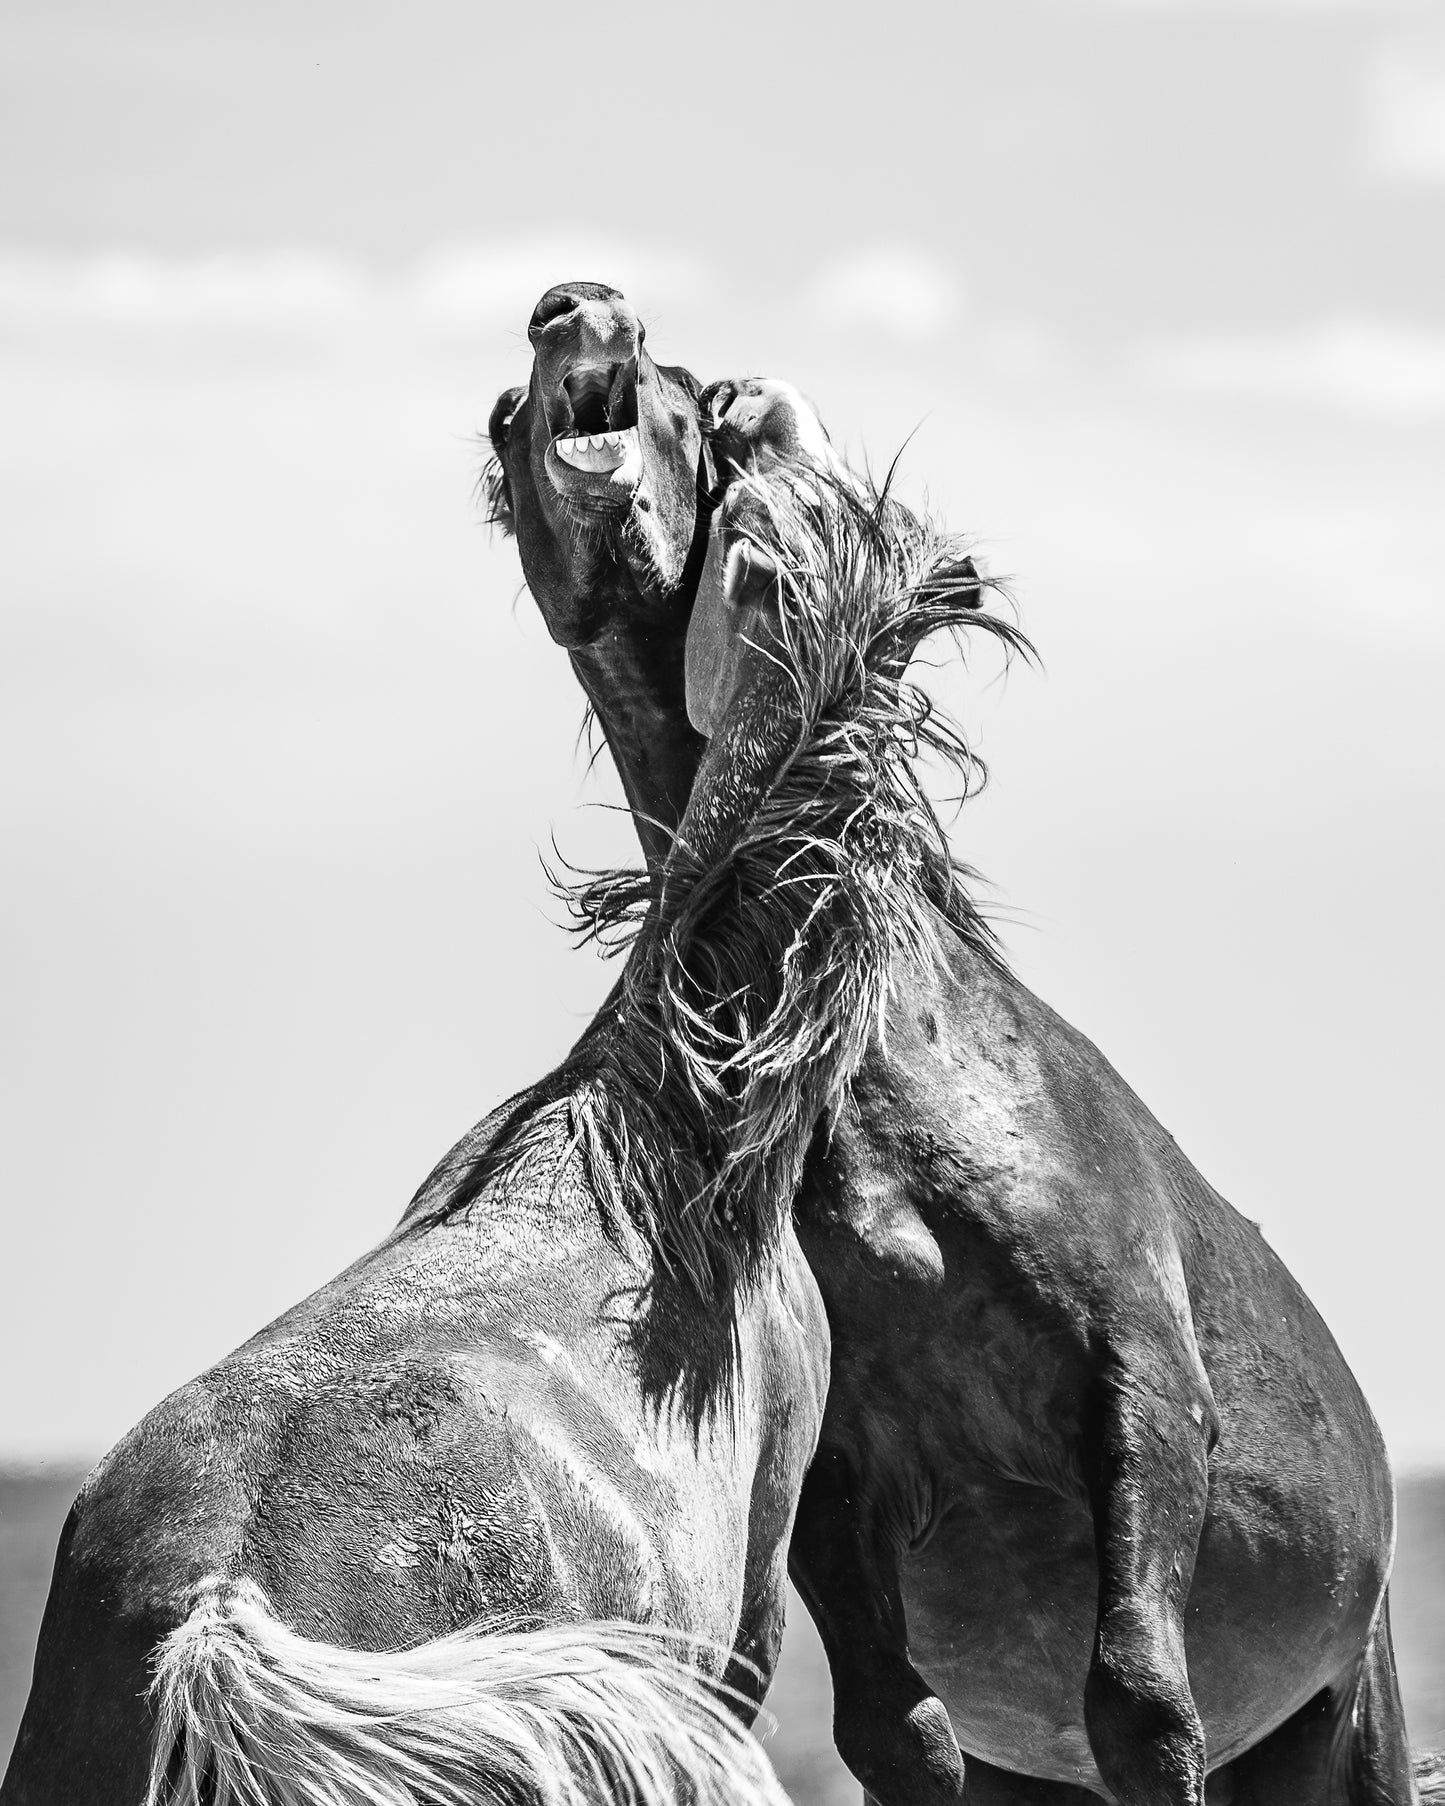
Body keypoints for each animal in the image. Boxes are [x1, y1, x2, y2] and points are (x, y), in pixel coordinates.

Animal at [0, 312, 830, 1806]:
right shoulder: (755, 1598)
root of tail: (215, 1618)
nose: (579, 309)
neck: (657, 1128)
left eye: (670, 381)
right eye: (510, 411)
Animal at [540, 372, 1438, 1806]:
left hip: (1339, 1719)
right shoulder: (841, 1488)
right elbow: (894, 1729)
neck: (911, 1137)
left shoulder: (1142, 1389)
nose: (738, 397)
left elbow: (1138, 1698)